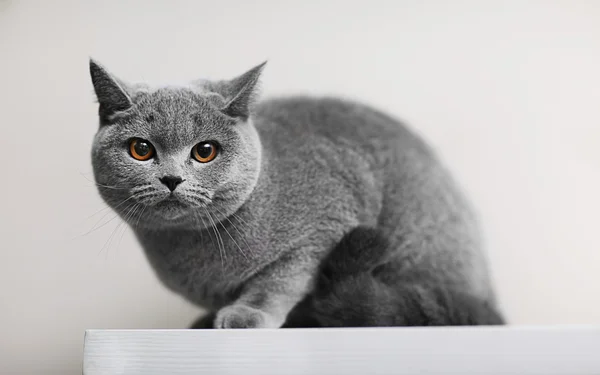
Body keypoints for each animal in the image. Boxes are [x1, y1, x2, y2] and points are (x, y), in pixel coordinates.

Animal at [89, 59, 502, 328]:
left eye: (205, 151)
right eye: (141, 149)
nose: (172, 179)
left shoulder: (325, 226)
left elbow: (280, 281)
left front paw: (246, 314)